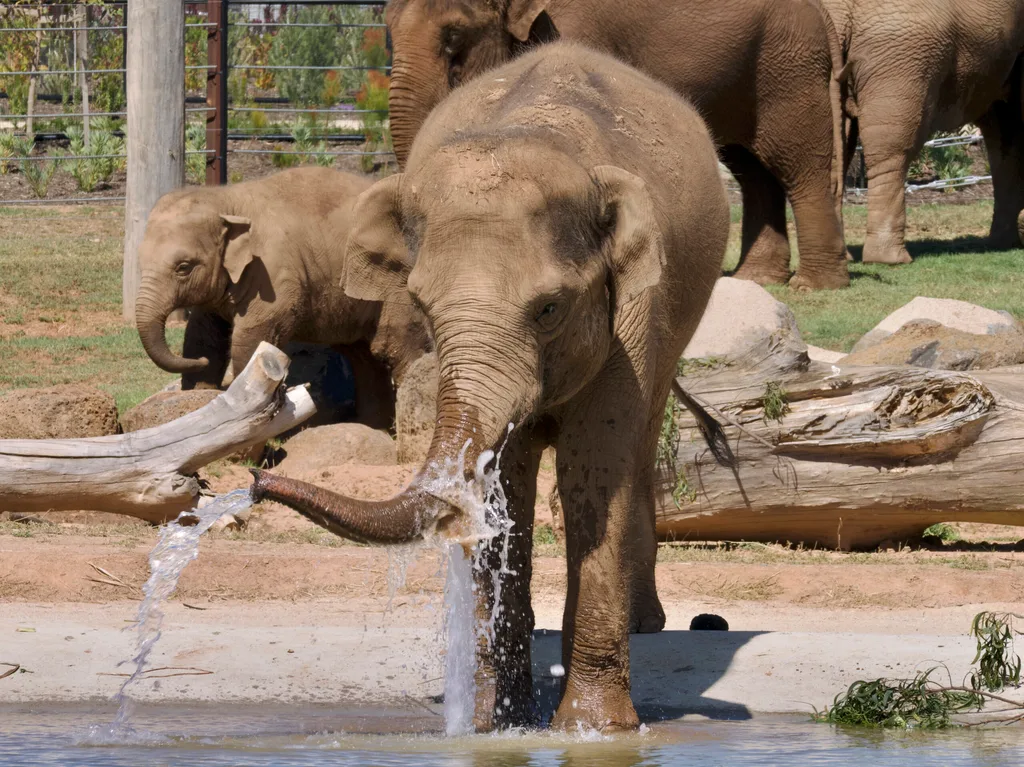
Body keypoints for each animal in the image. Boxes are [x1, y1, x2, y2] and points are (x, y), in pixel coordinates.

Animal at [135, 166, 432, 430]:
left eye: (183, 267)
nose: (200, 364)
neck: (227, 199)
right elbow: (202, 336)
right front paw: (199, 391)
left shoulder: (273, 276)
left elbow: (251, 340)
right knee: (365, 359)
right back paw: (374, 430)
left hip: (396, 285)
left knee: (398, 348)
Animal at [250, 43, 730, 731]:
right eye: (422, 306)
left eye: (550, 308)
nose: (254, 481)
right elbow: (508, 480)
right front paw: (494, 724)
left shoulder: (635, 315)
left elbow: (595, 466)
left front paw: (594, 730)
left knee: (637, 445)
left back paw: (641, 625)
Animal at [384, 0, 850, 289]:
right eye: (386, 30)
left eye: (453, 37)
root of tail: (821, 11)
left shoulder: (574, 29)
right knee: (752, 170)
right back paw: (755, 280)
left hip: (787, 71)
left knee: (799, 164)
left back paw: (811, 286)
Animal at [823, 0, 1024, 264]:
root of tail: (839, 12)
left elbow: (1003, 131)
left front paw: (1005, 244)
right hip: (902, 56)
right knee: (892, 150)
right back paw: (891, 259)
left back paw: (843, 257)